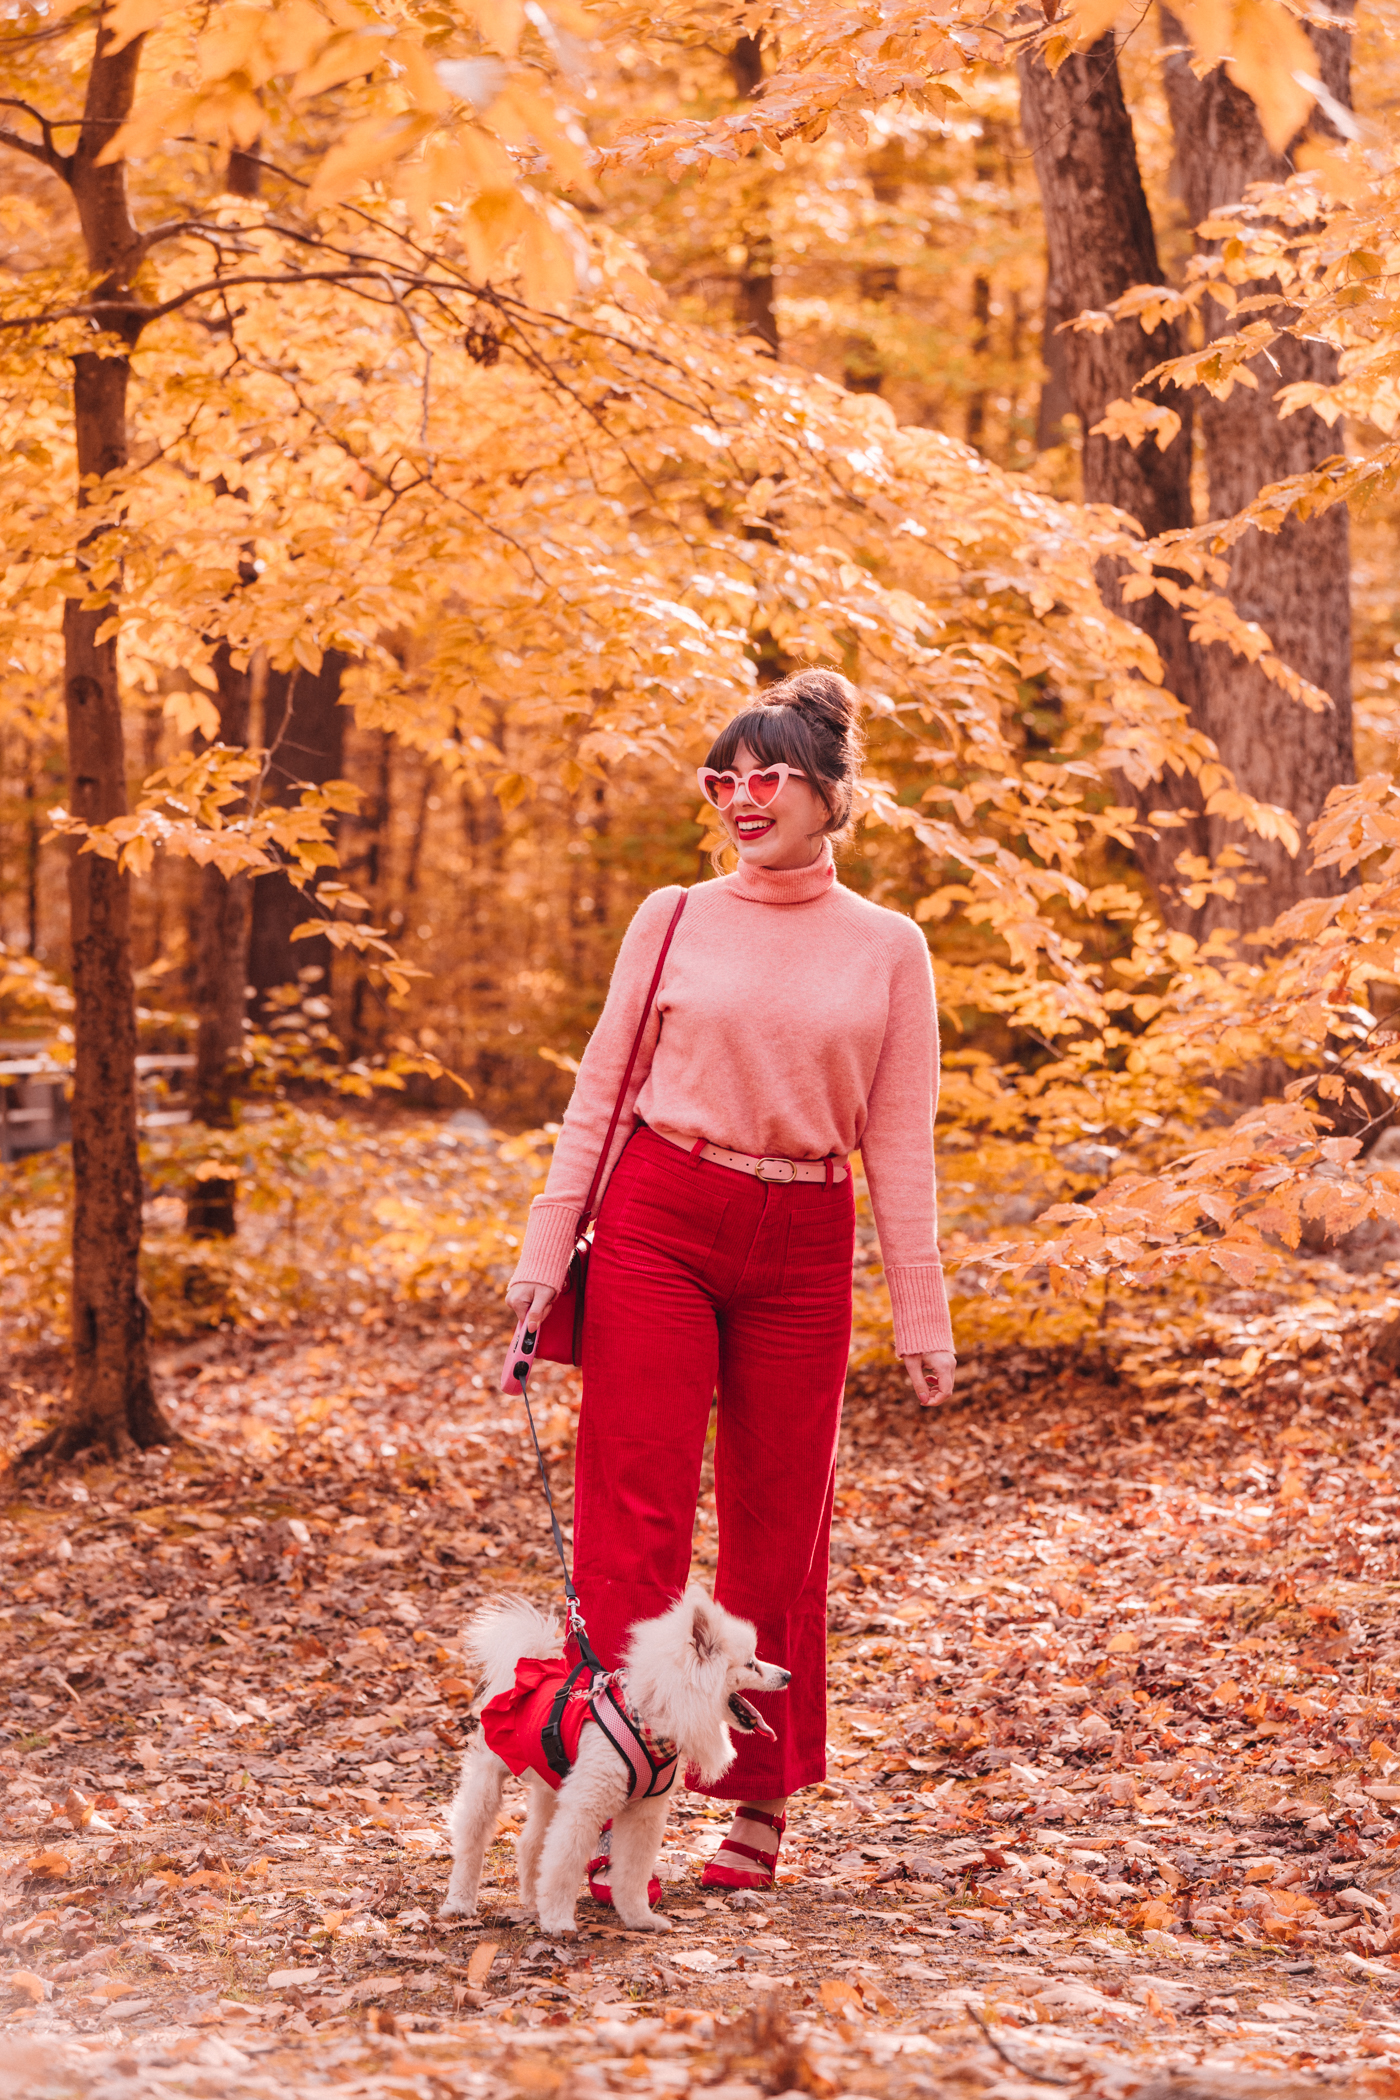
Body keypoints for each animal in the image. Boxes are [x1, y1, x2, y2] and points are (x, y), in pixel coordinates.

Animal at [440, 1587, 789, 1931]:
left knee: (530, 1844)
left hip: (551, 1788)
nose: (787, 1675)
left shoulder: (642, 1814)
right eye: (750, 1664)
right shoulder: (584, 1808)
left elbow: (632, 1874)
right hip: (489, 1780)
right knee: (471, 1840)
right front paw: (558, 1921)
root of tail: (528, 1673)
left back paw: (530, 1902)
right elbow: (563, 1867)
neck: (648, 1720)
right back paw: (459, 1903)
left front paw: (639, 1918)